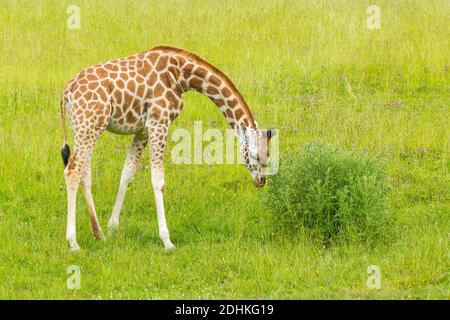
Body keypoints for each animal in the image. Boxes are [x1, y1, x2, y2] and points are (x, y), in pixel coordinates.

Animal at [59, 45, 276, 251]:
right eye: (255, 155)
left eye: (269, 155)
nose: (261, 181)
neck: (181, 75)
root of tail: (67, 92)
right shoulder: (159, 121)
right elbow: (158, 180)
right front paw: (167, 241)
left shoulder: (142, 130)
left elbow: (127, 173)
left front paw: (113, 227)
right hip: (89, 127)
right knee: (72, 171)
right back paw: (73, 242)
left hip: (86, 128)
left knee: (84, 174)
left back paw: (99, 234)